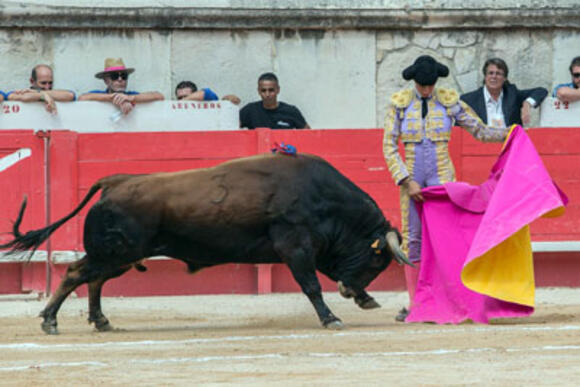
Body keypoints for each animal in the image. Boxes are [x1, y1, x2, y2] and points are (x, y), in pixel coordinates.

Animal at [0, 153, 410, 334]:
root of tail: (116, 180)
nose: (353, 293)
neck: (322, 197)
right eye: (378, 262)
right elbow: (311, 285)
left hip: (118, 256)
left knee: (93, 279)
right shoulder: (295, 247)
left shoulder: (308, 249)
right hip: (116, 252)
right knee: (76, 272)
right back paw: (50, 321)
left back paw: (101, 321)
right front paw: (331, 318)